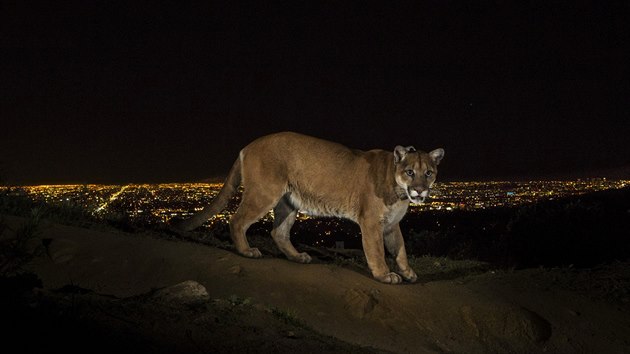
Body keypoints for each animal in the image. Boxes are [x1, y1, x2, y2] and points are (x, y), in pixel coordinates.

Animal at [175, 131, 446, 284]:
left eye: (428, 173)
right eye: (410, 172)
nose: (420, 190)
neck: (399, 191)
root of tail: (248, 146)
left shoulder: (391, 224)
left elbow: (400, 249)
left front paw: (408, 272)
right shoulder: (371, 222)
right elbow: (377, 251)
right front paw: (384, 275)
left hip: (289, 202)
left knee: (278, 232)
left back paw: (297, 257)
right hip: (265, 193)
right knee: (237, 220)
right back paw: (247, 251)